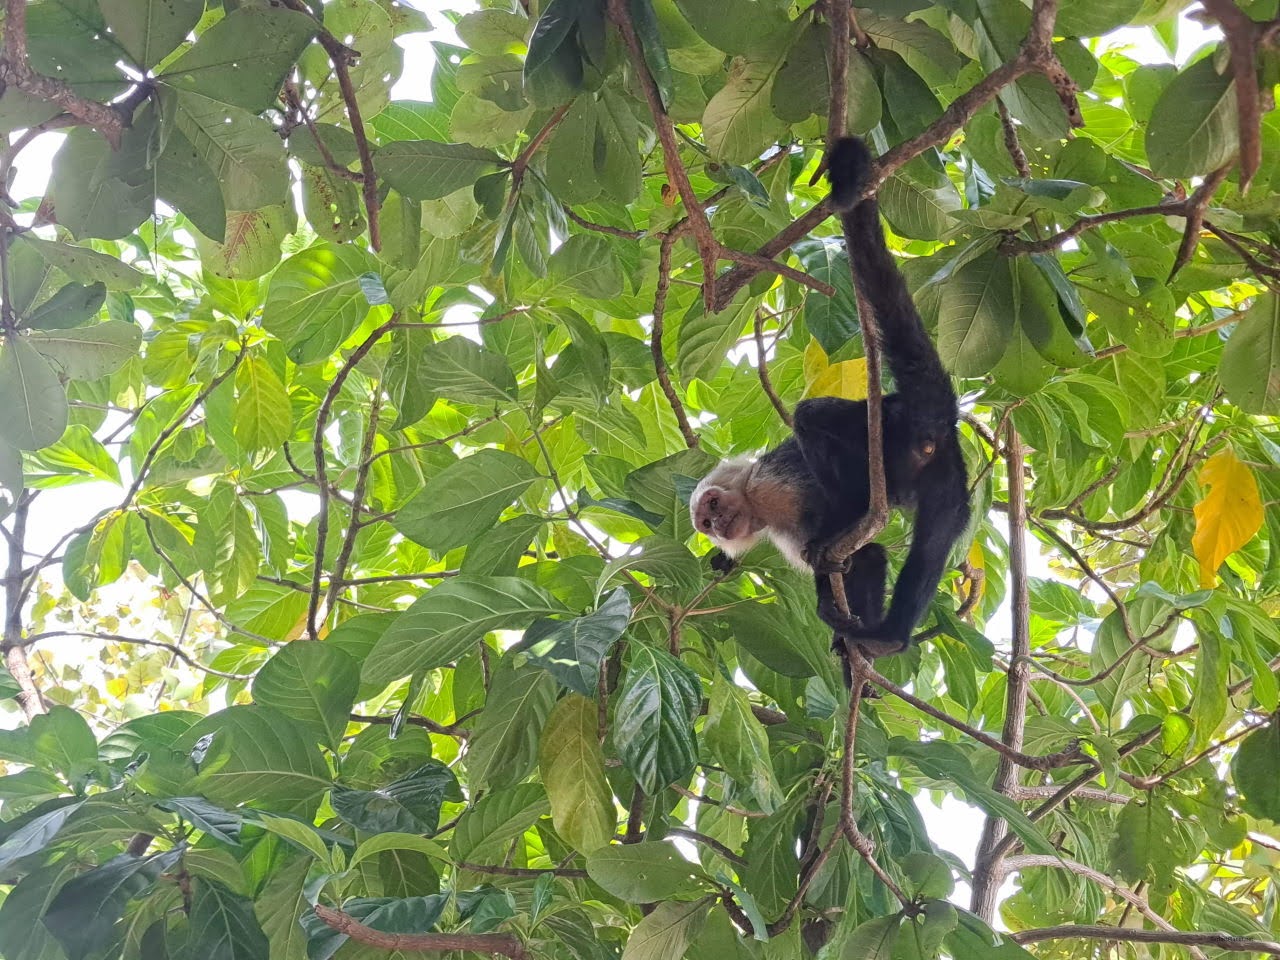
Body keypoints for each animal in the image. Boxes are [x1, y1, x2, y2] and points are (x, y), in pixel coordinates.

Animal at [691, 136, 967, 670]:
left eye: (712, 505)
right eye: (705, 521)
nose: (714, 525)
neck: (758, 513)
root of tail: (928, 413)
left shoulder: (767, 486)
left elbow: (849, 524)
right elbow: (869, 560)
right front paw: (846, 639)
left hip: (887, 426)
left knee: (815, 421)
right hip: (947, 475)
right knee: (934, 539)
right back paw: (891, 636)